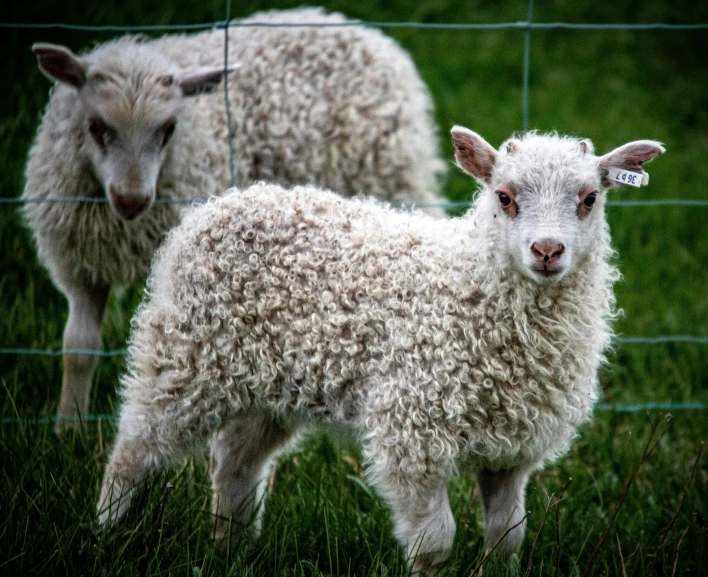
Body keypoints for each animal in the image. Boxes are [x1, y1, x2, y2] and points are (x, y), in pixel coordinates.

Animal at [23, 5, 448, 432]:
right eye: (95, 127)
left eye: (168, 129)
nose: (132, 199)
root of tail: (355, 27)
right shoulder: (80, 263)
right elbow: (79, 346)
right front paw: (68, 428)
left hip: (390, 180)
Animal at [98, 126, 664, 572]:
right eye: (503, 197)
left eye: (589, 198)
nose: (547, 251)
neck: (469, 284)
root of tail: (215, 207)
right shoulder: (413, 430)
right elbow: (434, 545)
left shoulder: (512, 451)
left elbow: (507, 538)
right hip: (185, 355)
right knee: (134, 447)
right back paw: (104, 533)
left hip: (266, 387)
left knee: (234, 466)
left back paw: (231, 552)